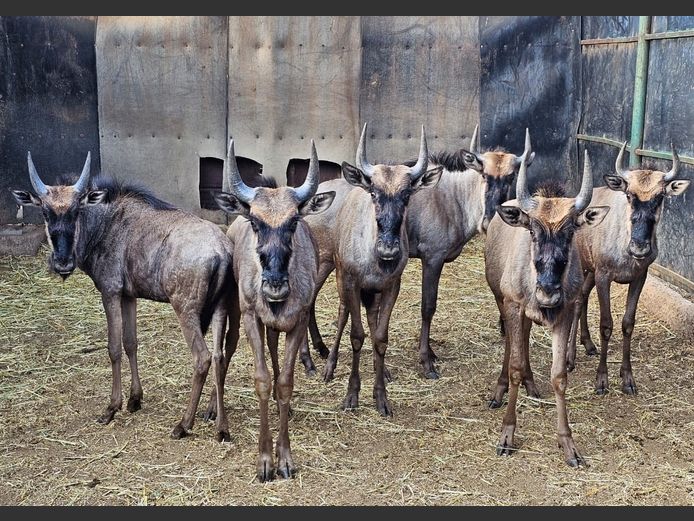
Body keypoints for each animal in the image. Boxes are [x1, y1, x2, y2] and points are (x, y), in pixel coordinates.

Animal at [12, 151, 236, 442]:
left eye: (76, 211)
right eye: (45, 212)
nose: (62, 263)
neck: (105, 225)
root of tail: (222, 249)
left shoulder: (110, 291)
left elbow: (114, 348)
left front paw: (112, 407)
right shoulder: (129, 296)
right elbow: (131, 343)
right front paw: (135, 399)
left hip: (185, 310)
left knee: (203, 358)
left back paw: (183, 424)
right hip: (221, 309)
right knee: (220, 357)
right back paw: (221, 426)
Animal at [214, 139, 335, 482]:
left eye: (293, 222)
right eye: (256, 222)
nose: (275, 286)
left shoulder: (297, 321)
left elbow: (283, 383)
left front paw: (285, 459)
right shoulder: (252, 318)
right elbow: (262, 380)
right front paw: (265, 460)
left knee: (272, 348)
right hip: (234, 313)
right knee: (224, 351)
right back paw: (216, 416)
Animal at [321, 124, 443, 416]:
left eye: (407, 194)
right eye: (374, 192)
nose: (388, 250)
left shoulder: (390, 286)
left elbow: (380, 337)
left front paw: (381, 398)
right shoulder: (351, 282)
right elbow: (356, 336)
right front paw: (351, 396)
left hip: (372, 292)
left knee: (373, 317)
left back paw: (383, 370)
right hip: (341, 280)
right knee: (342, 314)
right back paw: (329, 367)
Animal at [484, 132, 609, 466]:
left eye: (571, 231)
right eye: (532, 230)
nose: (548, 292)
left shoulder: (563, 315)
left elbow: (559, 376)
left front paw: (568, 444)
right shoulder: (514, 306)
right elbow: (514, 365)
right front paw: (507, 434)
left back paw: (531, 384)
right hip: (503, 302)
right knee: (510, 347)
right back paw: (500, 390)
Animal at [567, 143, 689, 394]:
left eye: (660, 196)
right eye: (629, 195)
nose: (639, 248)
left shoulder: (638, 278)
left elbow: (627, 324)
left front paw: (627, 378)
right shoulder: (604, 277)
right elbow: (606, 325)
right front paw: (602, 380)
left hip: (590, 271)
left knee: (582, 298)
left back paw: (588, 344)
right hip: (583, 268)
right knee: (576, 301)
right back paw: (570, 358)